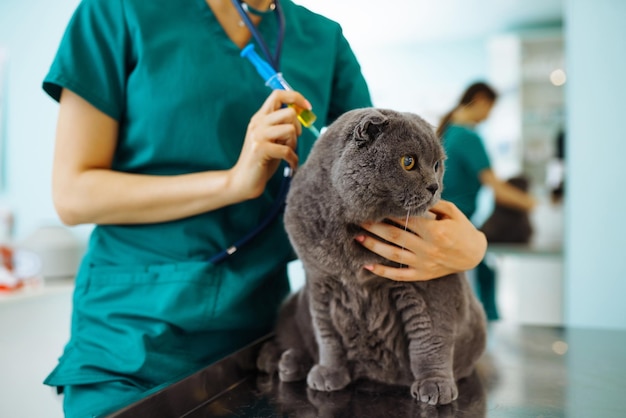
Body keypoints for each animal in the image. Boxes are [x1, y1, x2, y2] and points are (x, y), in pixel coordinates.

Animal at [256, 107, 486, 404]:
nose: (435, 186)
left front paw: (435, 384)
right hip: (292, 306)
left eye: (437, 165)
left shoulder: (431, 283)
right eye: (408, 162)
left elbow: (430, 337)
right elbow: (327, 335)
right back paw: (286, 362)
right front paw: (329, 371)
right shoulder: (319, 282)